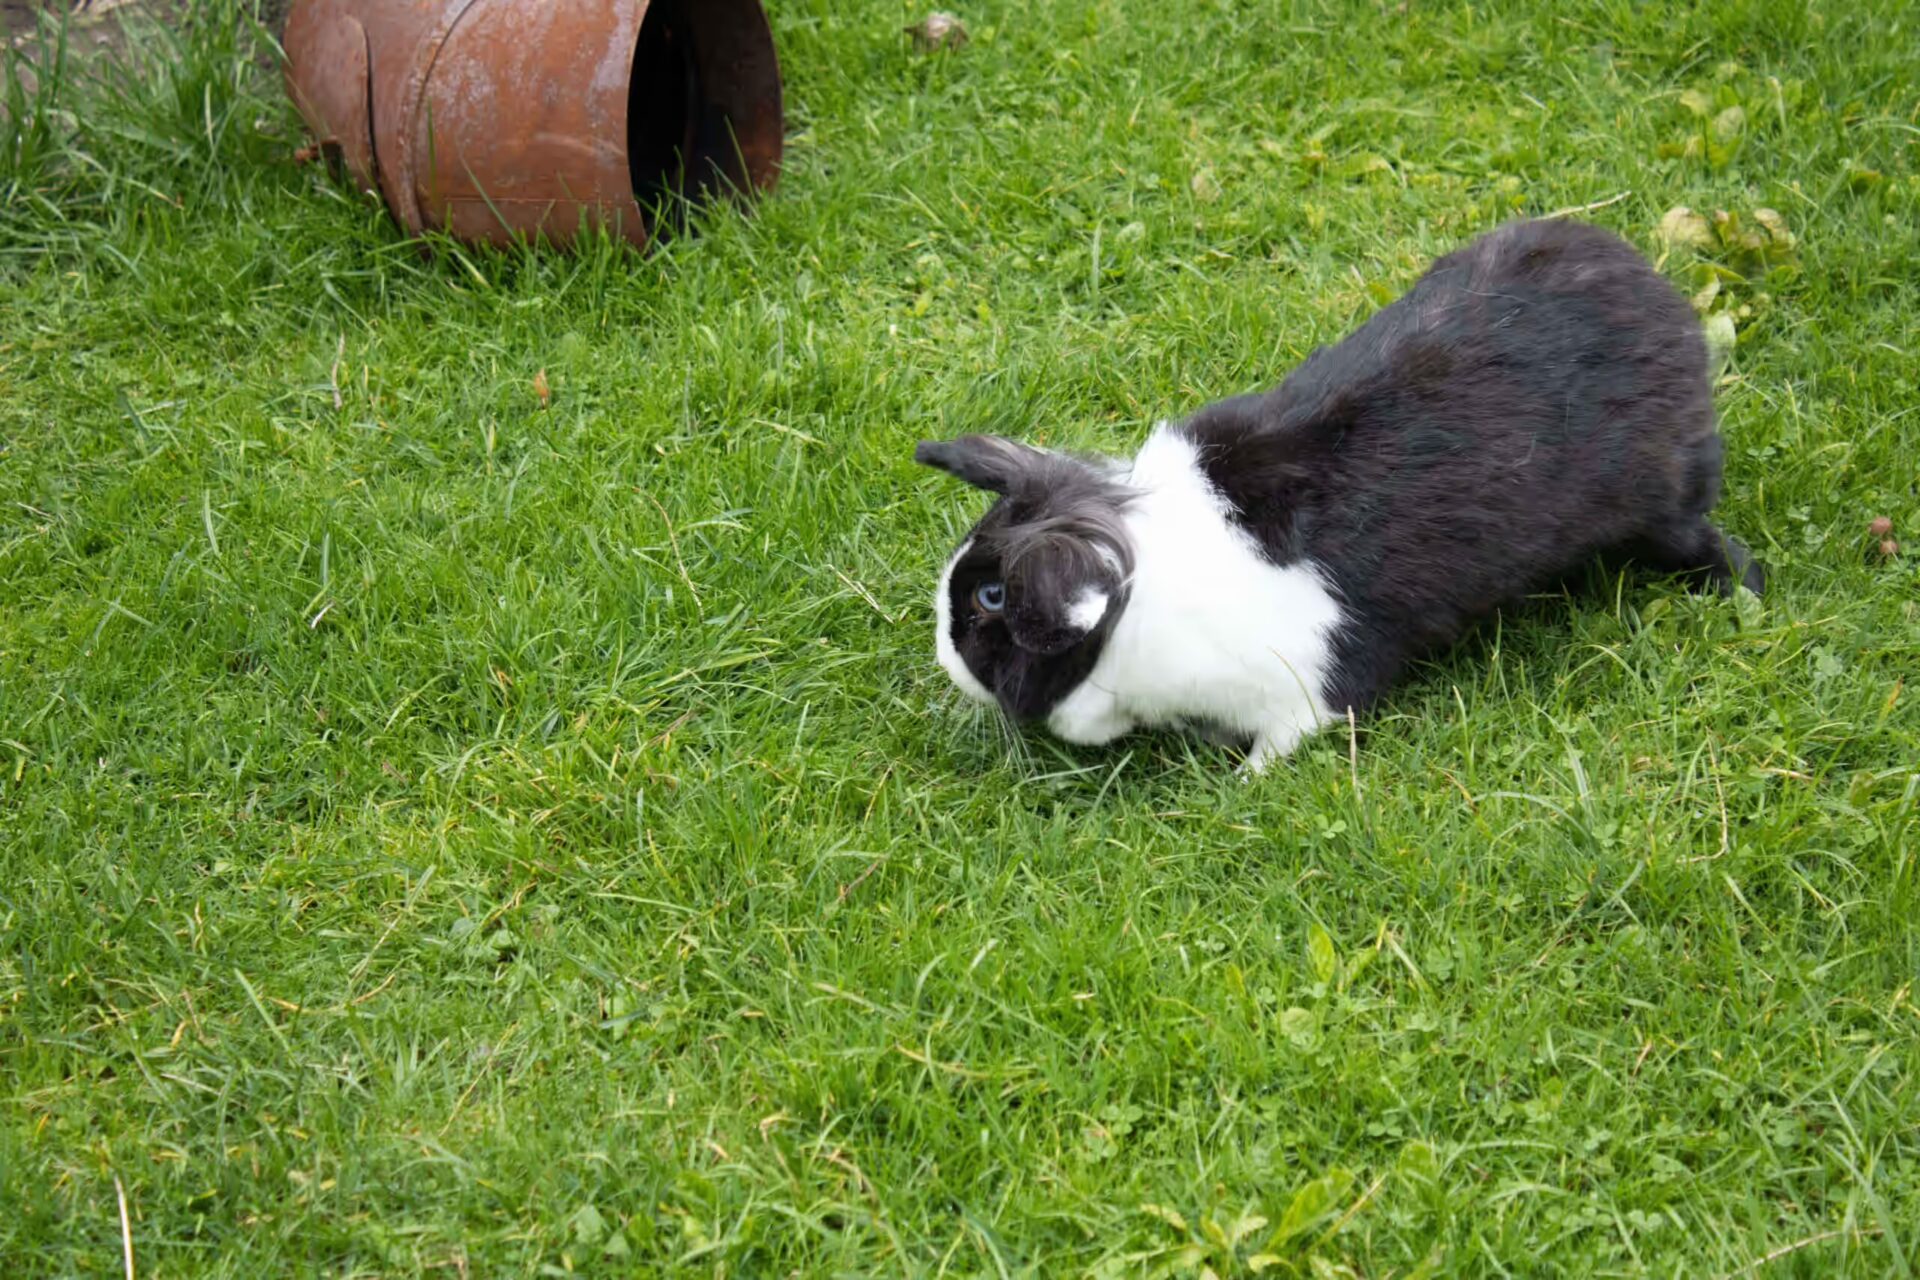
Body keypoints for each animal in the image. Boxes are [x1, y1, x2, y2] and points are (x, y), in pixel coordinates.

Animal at [915, 217, 1765, 772]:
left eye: (992, 600)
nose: (944, 661)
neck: (1137, 605)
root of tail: (1660, 300)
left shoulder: (1305, 694)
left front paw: (1243, 786)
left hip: (1661, 504)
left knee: (1706, 543)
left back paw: (1743, 596)